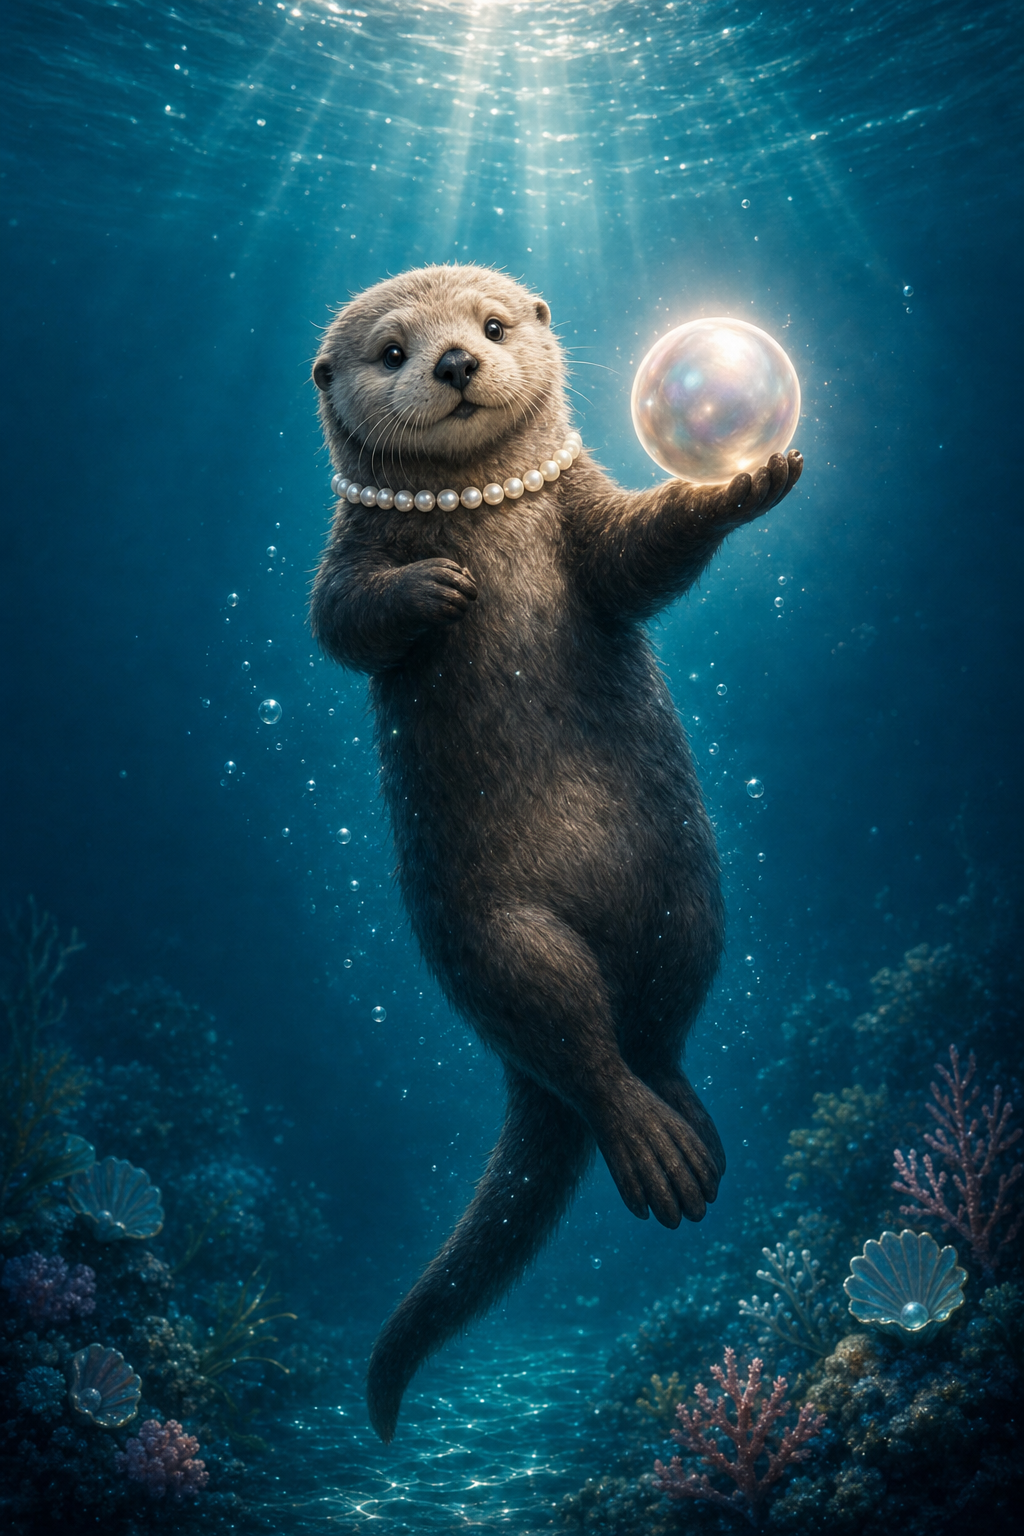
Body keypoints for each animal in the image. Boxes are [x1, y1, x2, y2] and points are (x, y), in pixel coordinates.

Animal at [309, 264, 801, 1442]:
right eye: (390, 352)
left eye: (490, 326)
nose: (453, 362)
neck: (488, 516)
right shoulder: (347, 550)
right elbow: (337, 619)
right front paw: (431, 586)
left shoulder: (585, 515)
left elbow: (632, 560)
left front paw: (732, 488)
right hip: (495, 937)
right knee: (577, 1042)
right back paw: (660, 1154)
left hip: (690, 904)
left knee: (652, 1037)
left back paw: (689, 1136)